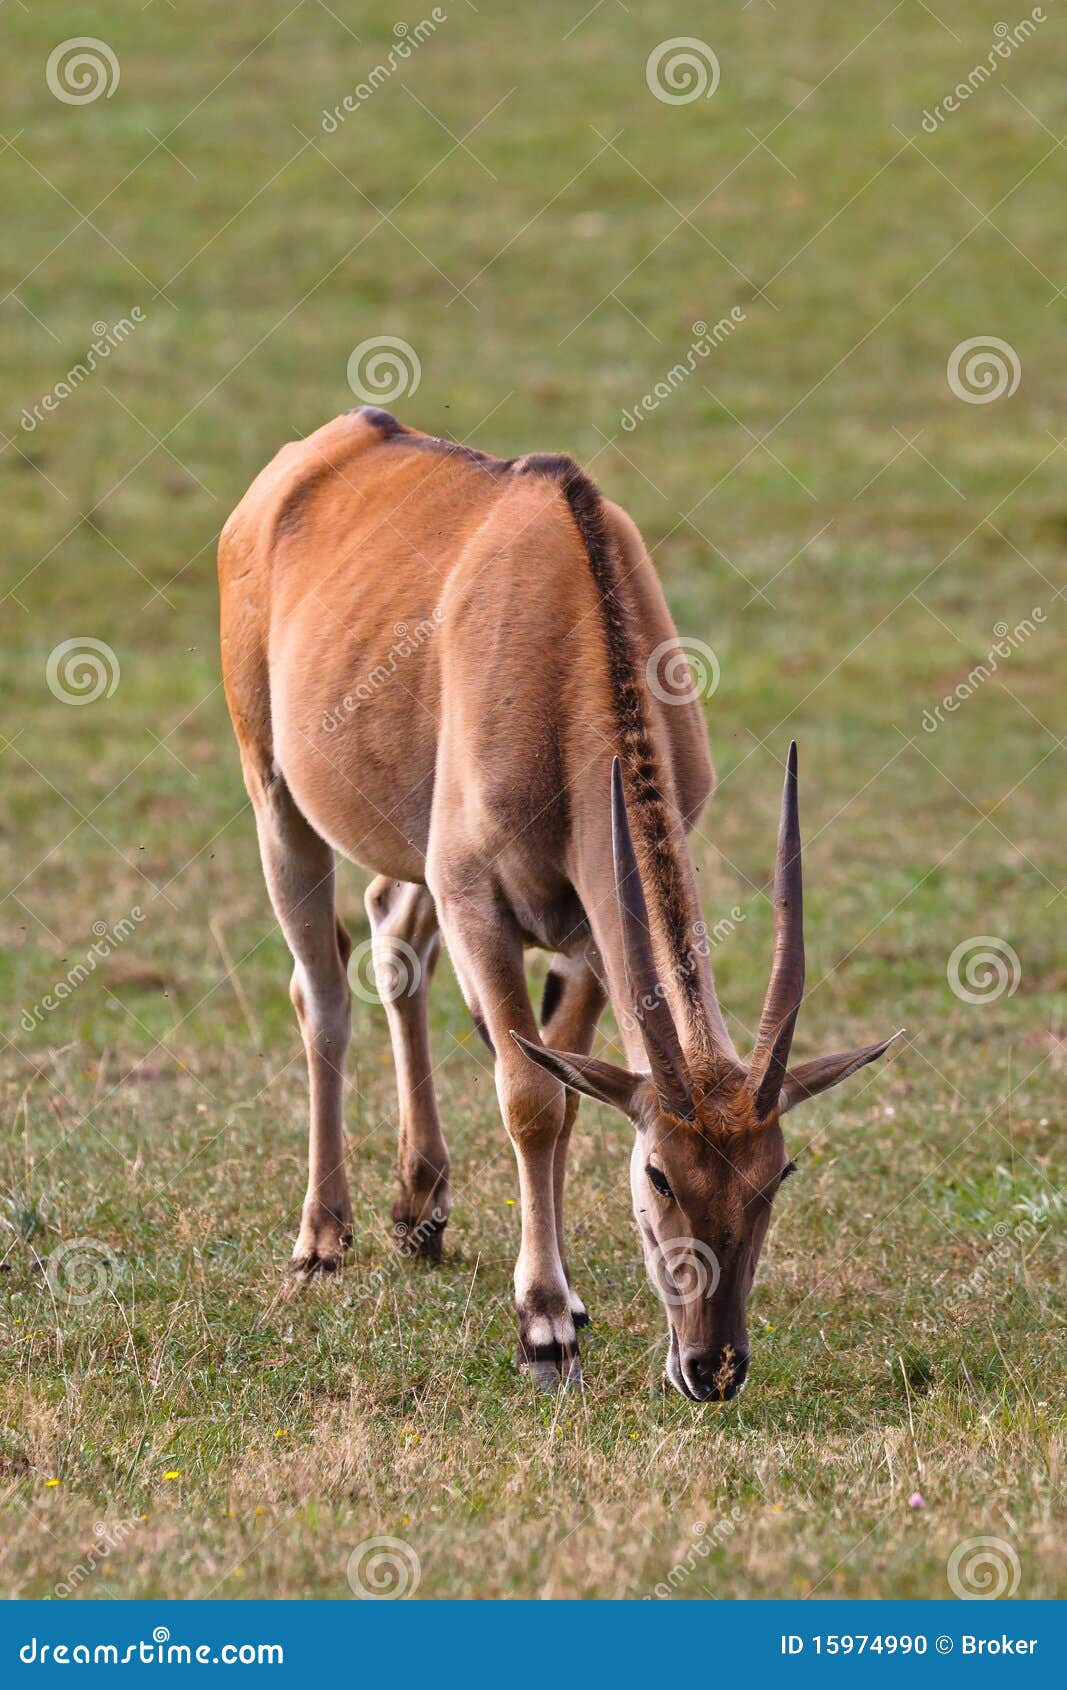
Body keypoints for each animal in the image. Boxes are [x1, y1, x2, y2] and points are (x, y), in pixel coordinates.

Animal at [219, 408, 899, 1399]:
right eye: (659, 1175)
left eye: (775, 1175)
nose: (713, 1365)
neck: (568, 635)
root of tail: (327, 445)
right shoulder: (478, 901)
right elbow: (532, 1096)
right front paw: (544, 1328)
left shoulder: (582, 927)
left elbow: (573, 1093)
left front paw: (569, 1302)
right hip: (278, 799)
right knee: (324, 992)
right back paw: (321, 1238)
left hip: (414, 857)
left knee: (393, 936)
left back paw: (420, 1205)